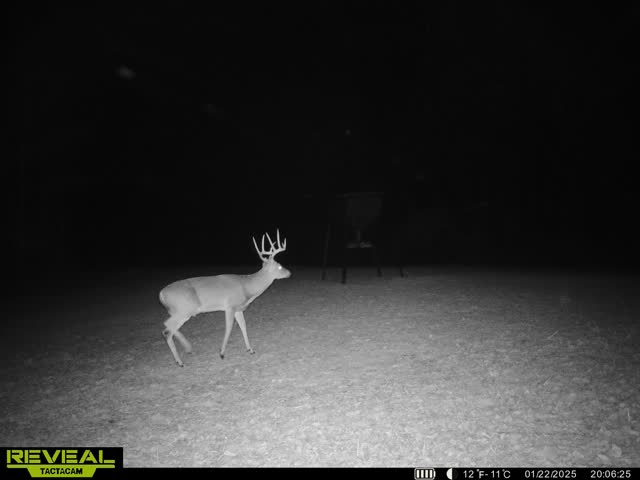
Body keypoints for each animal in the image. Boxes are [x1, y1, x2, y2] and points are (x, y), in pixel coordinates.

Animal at [159, 230, 291, 366]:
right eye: (279, 266)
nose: (289, 273)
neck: (246, 287)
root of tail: (161, 294)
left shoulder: (238, 309)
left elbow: (243, 326)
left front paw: (250, 349)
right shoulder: (230, 306)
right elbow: (229, 328)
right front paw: (222, 353)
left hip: (178, 311)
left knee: (167, 327)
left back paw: (188, 348)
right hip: (184, 310)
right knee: (167, 328)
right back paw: (180, 361)